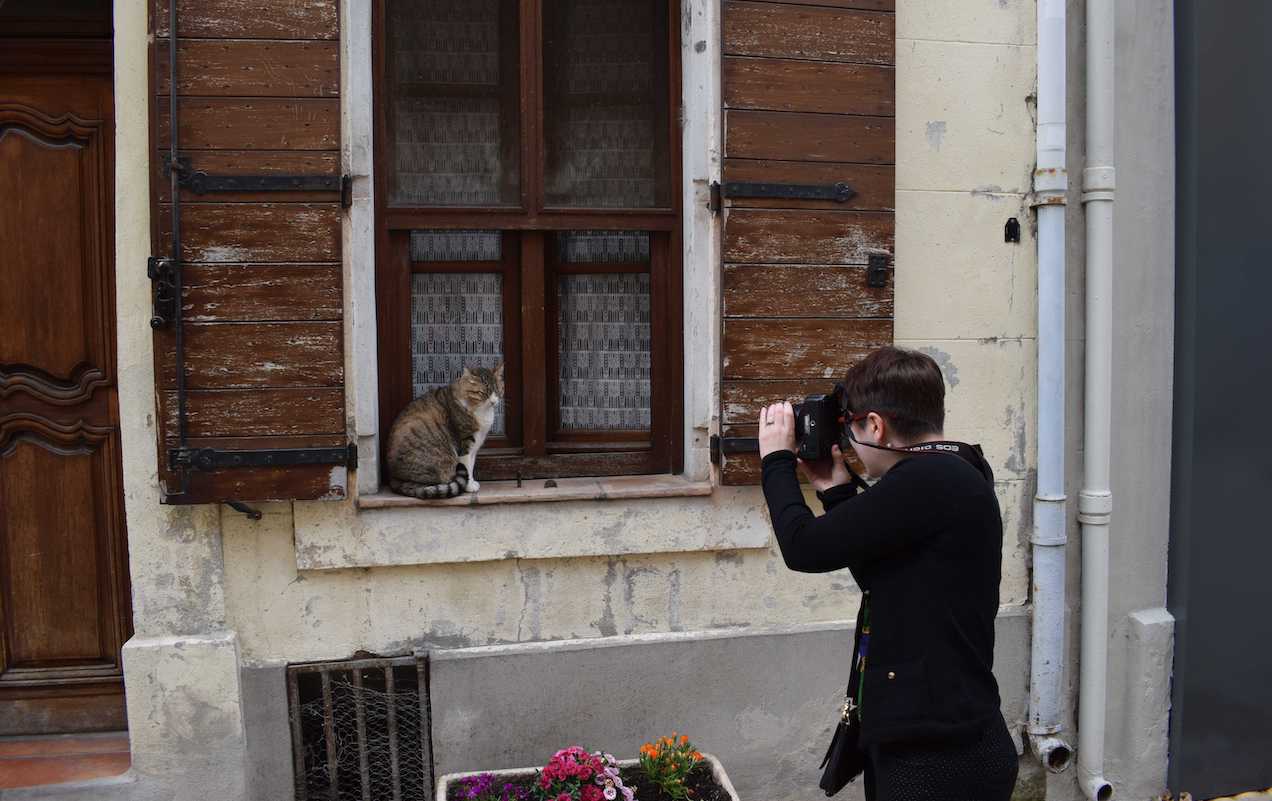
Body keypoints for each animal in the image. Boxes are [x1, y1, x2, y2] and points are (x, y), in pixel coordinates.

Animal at [384, 366, 503, 503]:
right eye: (483, 393)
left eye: (498, 391)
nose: (493, 401)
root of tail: (394, 479)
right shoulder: (465, 442)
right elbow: (467, 465)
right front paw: (469, 486)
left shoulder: (475, 443)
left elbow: (471, 464)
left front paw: (472, 482)